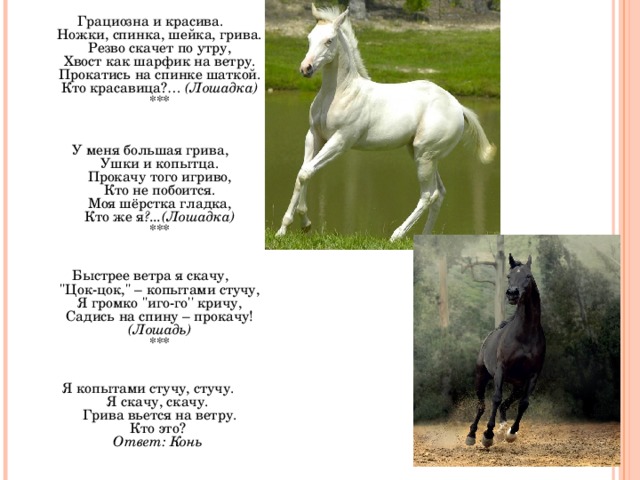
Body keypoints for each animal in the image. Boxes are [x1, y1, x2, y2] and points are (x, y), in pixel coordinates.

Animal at [275, 4, 496, 242]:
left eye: (329, 41)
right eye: (309, 38)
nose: (305, 68)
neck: (339, 94)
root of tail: (458, 107)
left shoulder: (341, 141)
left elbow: (307, 172)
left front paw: (299, 225)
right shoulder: (314, 136)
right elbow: (302, 173)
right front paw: (289, 228)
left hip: (425, 155)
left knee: (428, 194)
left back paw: (397, 235)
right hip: (421, 153)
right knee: (440, 193)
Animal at [465, 254, 546, 448]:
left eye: (528, 276)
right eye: (509, 276)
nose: (512, 293)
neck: (524, 335)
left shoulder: (533, 375)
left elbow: (524, 403)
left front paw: (511, 433)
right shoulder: (501, 370)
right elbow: (496, 398)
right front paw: (488, 434)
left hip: (517, 384)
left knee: (506, 405)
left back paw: (502, 429)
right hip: (481, 377)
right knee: (482, 406)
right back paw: (472, 435)